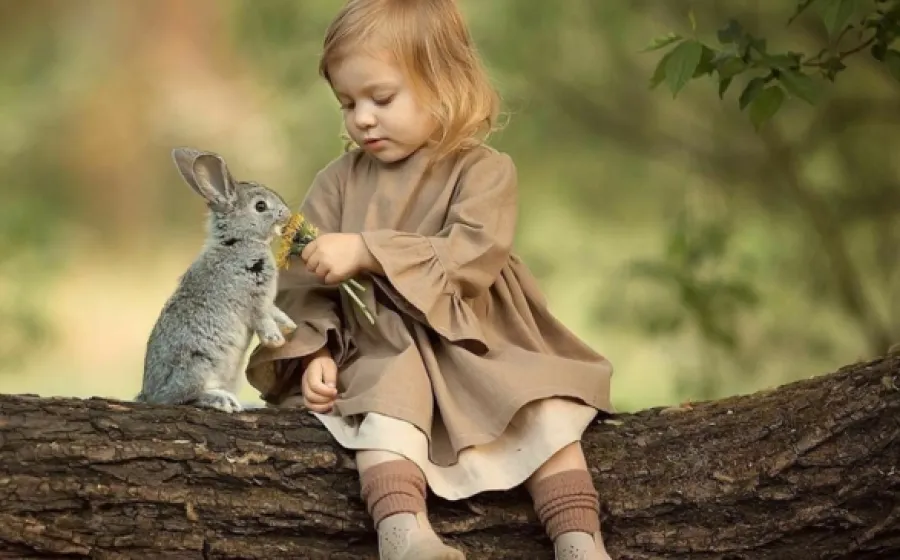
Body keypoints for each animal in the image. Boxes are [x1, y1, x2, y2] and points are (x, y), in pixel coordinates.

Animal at [135, 147, 297, 413]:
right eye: (260, 206)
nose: (286, 214)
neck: (239, 240)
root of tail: (149, 395)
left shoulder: (266, 301)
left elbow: (276, 312)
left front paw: (290, 326)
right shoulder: (253, 299)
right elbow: (263, 319)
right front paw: (276, 340)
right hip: (199, 365)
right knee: (182, 398)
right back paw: (222, 400)